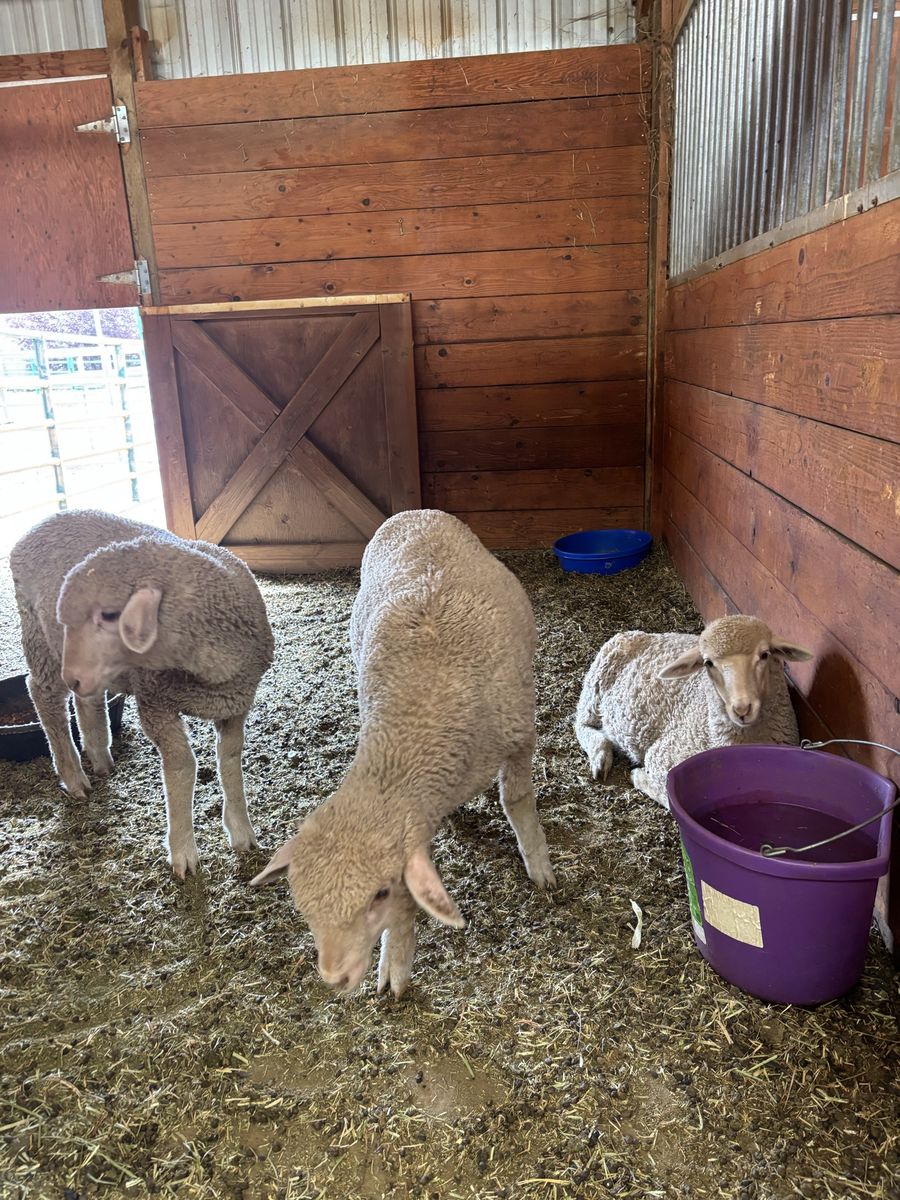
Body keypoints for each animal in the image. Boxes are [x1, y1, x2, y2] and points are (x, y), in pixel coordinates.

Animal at [10, 509, 274, 877]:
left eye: (108, 615)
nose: (72, 677)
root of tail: (41, 523)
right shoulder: (156, 701)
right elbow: (183, 767)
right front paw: (183, 850)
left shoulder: (236, 704)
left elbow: (230, 760)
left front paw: (241, 832)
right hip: (39, 635)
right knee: (45, 696)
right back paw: (73, 776)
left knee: (87, 701)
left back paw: (100, 757)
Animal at [251, 508, 555, 998]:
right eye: (302, 905)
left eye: (379, 893)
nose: (334, 977)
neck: (418, 716)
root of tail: (416, 511)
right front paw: (396, 959)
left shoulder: (520, 735)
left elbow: (518, 801)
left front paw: (539, 863)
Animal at [575, 614, 812, 807]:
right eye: (708, 663)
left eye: (764, 655)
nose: (742, 708)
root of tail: (643, 633)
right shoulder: (661, 756)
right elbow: (669, 798)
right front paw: (638, 776)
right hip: (595, 686)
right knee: (581, 724)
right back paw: (600, 755)